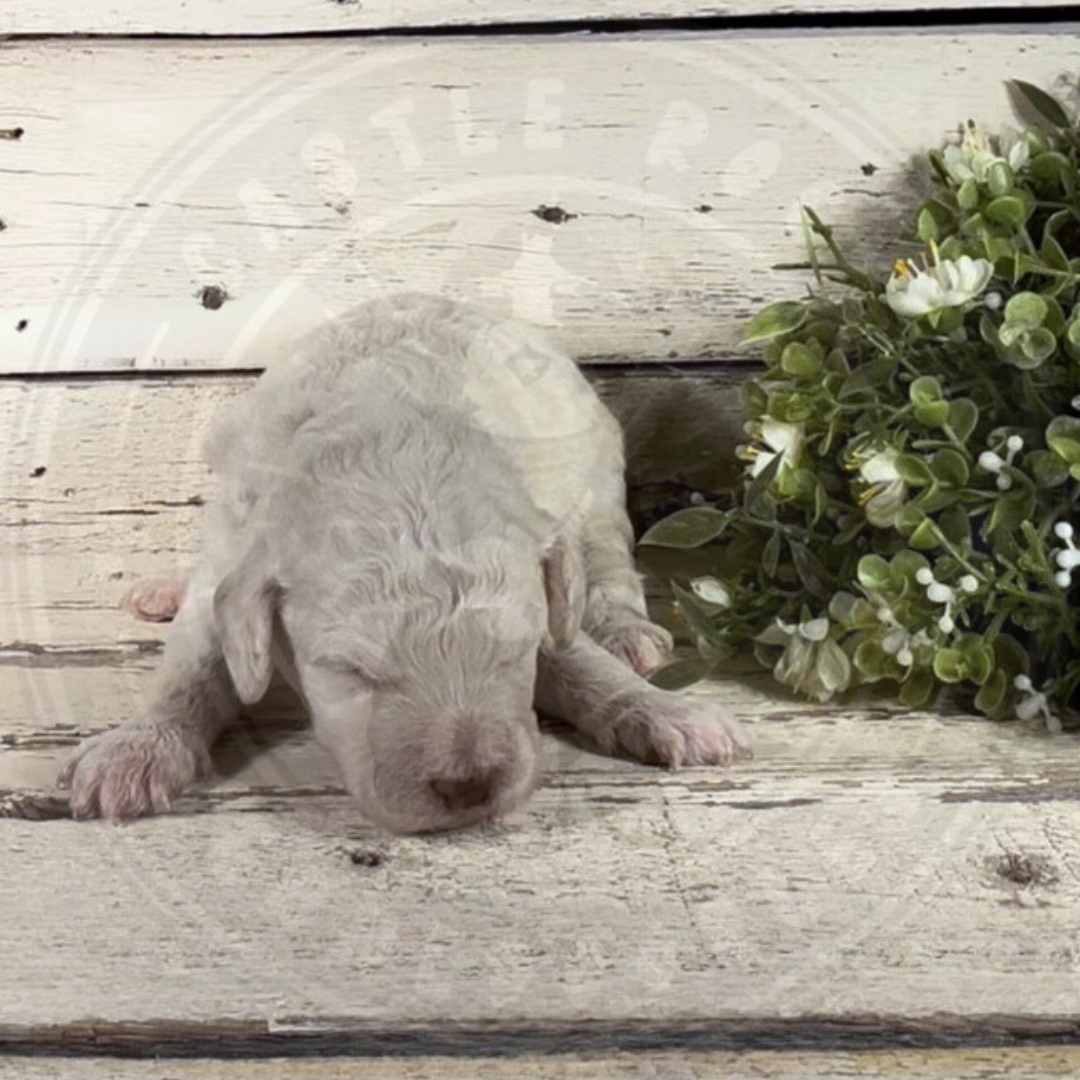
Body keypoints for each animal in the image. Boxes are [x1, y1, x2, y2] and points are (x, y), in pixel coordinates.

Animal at [61, 295, 751, 833]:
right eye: (351, 673)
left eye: (513, 654)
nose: (469, 786)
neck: (391, 458)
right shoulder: (236, 552)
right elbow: (193, 665)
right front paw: (136, 749)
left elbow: (580, 659)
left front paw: (666, 713)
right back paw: (164, 588)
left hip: (595, 472)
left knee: (603, 560)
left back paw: (625, 630)